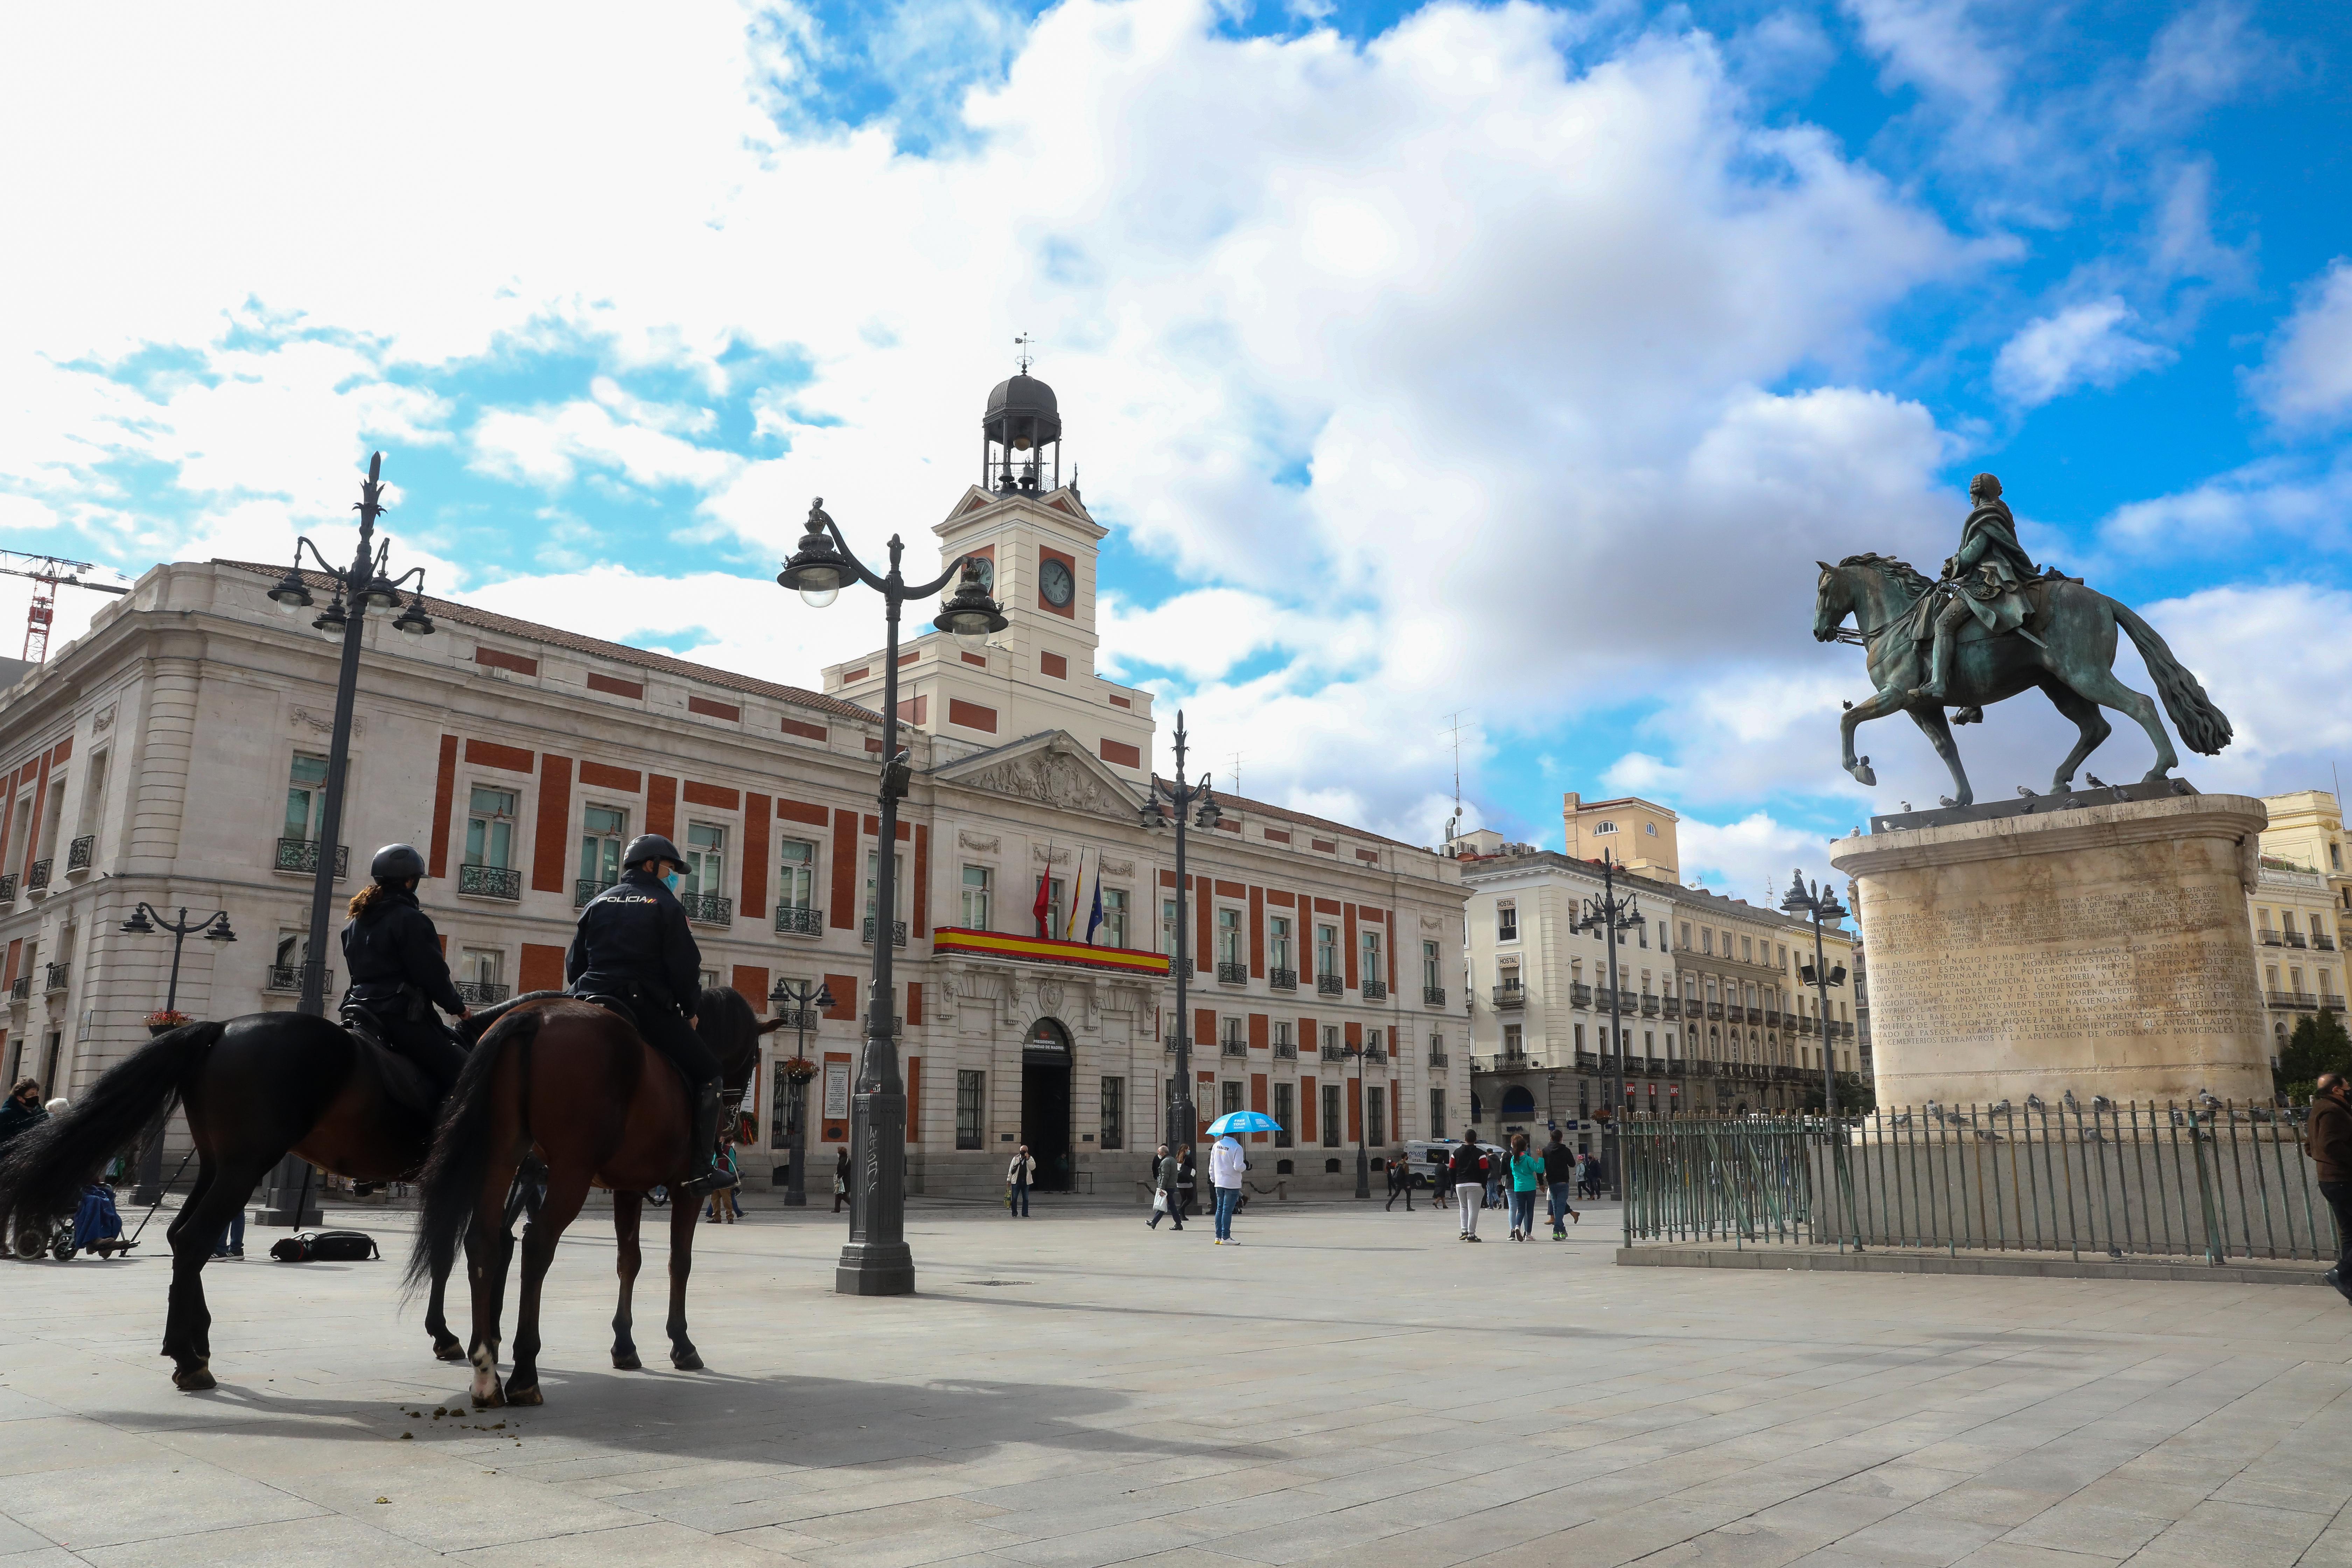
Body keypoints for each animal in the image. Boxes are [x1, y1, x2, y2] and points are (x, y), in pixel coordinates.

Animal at [0, 1011, 470, 1392]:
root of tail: (222, 1028)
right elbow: (448, 1257)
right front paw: (448, 1335)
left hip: (215, 1164)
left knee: (180, 1236)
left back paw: (198, 1341)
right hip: (245, 1165)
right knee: (193, 1239)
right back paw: (187, 1358)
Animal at [409, 987, 766, 1401]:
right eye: (754, 1056)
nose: (731, 1121)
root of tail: (533, 1016)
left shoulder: (627, 1187)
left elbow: (629, 1261)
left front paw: (625, 1345)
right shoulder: (686, 1191)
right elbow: (680, 1262)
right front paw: (682, 1343)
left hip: (501, 1155)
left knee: (483, 1242)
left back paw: (485, 1370)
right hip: (570, 1171)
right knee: (536, 1244)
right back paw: (524, 1373)